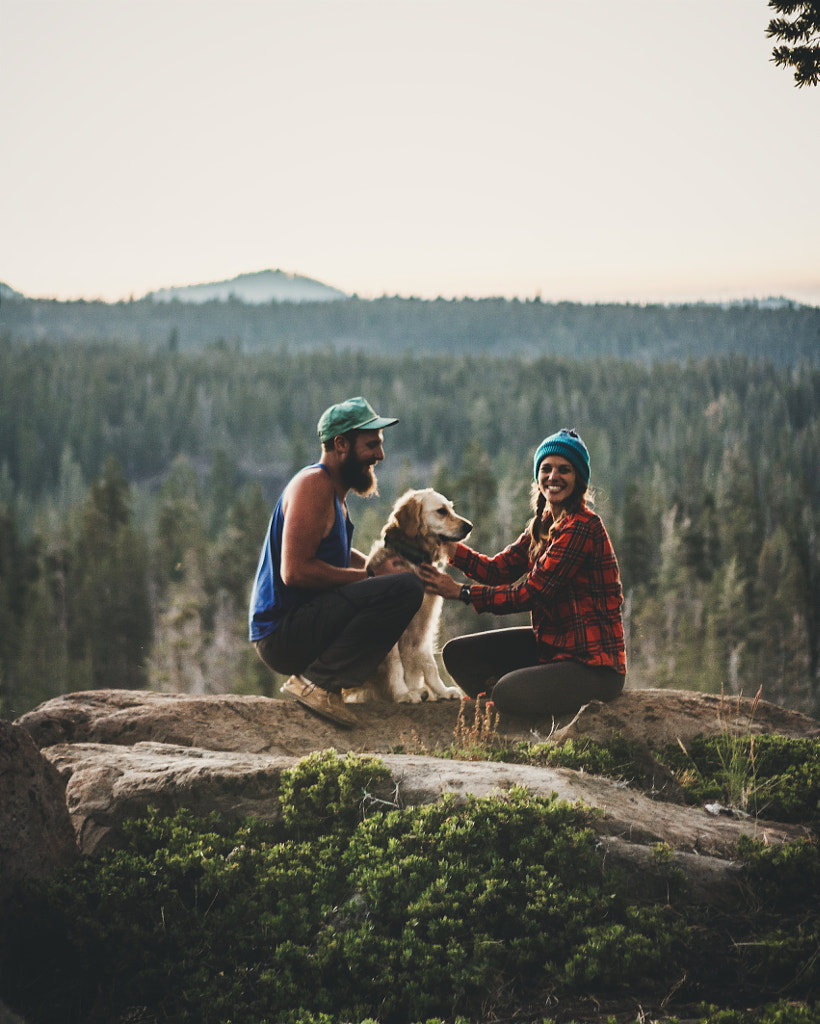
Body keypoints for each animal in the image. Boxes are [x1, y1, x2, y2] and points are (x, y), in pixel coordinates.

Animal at [343, 489, 472, 704]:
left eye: (451, 508)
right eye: (441, 511)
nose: (470, 526)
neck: (413, 557)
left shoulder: (424, 626)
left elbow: (429, 663)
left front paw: (441, 691)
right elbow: (396, 665)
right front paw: (403, 693)